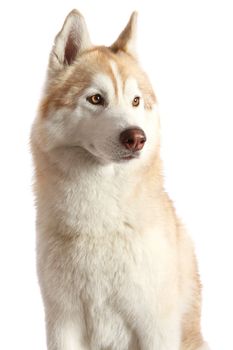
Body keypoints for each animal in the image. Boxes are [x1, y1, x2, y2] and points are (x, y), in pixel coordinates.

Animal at [30, 9, 209, 348]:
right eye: (96, 99)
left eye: (136, 101)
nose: (136, 138)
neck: (100, 218)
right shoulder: (63, 321)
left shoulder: (154, 326)